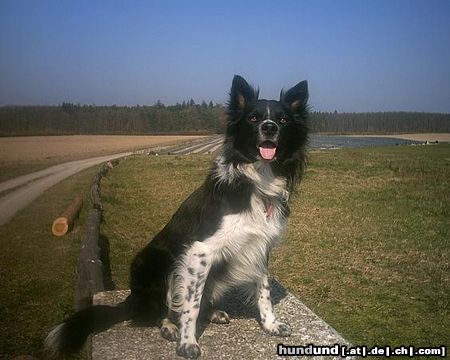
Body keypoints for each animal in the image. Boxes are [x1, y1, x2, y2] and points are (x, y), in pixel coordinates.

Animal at [44, 74, 310, 358]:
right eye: (253, 118)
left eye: (283, 120)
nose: (269, 128)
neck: (256, 180)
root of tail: (133, 299)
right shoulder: (200, 251)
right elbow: (191, 305)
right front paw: (187, 342)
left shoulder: (260, 246)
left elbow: (264, 290)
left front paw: (271, 324)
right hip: (157, 264)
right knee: (166, 307)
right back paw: (169, 326)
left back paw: (212, 313)